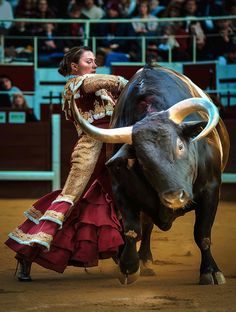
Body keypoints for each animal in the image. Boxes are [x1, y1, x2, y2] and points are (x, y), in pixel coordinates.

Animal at [71, 65, 230, 286]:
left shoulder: (211, 189)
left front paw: (210, 271)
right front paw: (129, 267)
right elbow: (132, 230)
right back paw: (144, 259)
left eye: (180, 146)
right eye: (142, 159)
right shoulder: (121, 191)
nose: (175, 197)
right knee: (146, 225)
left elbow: (202, 233)